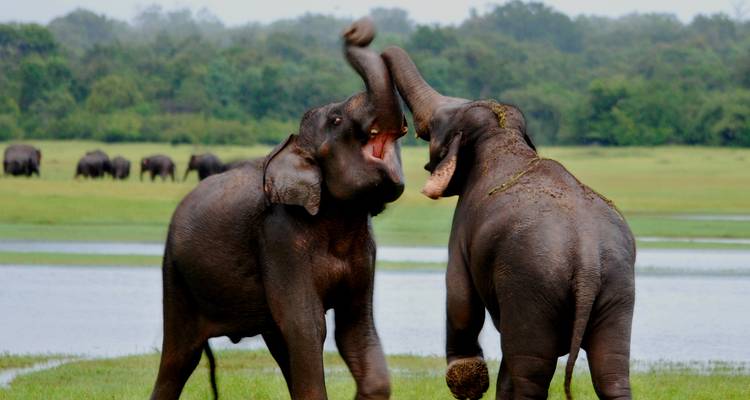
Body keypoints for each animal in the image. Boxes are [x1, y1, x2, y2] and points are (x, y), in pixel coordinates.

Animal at [150, 18, 406, 400]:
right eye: (335, 120)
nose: (354, 28)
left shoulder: (365, 248)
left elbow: (355, 326)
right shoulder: (279, 238)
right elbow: (307, 325)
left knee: (277, 344)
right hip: (175, 274)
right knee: (179, 358)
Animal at [383, 46, 636, 400]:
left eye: (436, 127)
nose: (355, 36)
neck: (503, 136)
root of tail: (586, 256)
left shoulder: (462, 227)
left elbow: (460, 297)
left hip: (531, 287)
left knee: (530, 371)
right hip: (618, 287)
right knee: (610, 371)